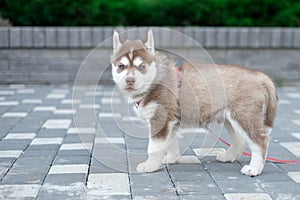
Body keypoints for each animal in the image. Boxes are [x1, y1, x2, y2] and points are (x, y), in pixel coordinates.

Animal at [111, 29, 278, 177]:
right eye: (121, 66)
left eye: (141, 67)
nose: (130, 80)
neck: (154, 81)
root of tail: (258, 75)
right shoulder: (170, 122)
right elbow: (170, 143)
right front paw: (171, 158)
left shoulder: (160, 120)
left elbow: (153, 147)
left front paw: (150, 165)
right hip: (229, 119)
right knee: (240, 140)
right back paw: (228, 156)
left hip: (244, 116)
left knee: (260, 141)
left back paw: (254, 168)